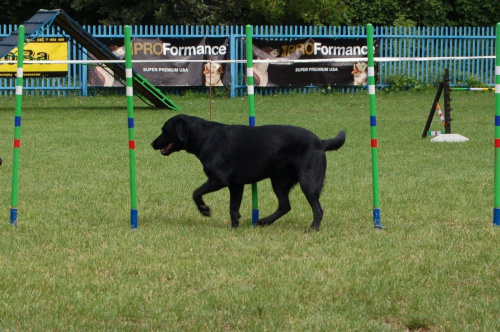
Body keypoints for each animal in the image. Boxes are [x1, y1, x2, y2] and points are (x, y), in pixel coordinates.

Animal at [152, 115, 346, 230]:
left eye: (164, 130)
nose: (152, 143)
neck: (204, 137)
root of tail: (321, 142)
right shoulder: (236, 184)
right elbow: (233, 207)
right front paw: (235, 226)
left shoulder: (219, 179)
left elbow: (195, 193)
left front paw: (204, 210)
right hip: (279, 180)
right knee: (285, 205)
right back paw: (263, 221)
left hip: (307, 181)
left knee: (318, 209)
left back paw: (313, 228)